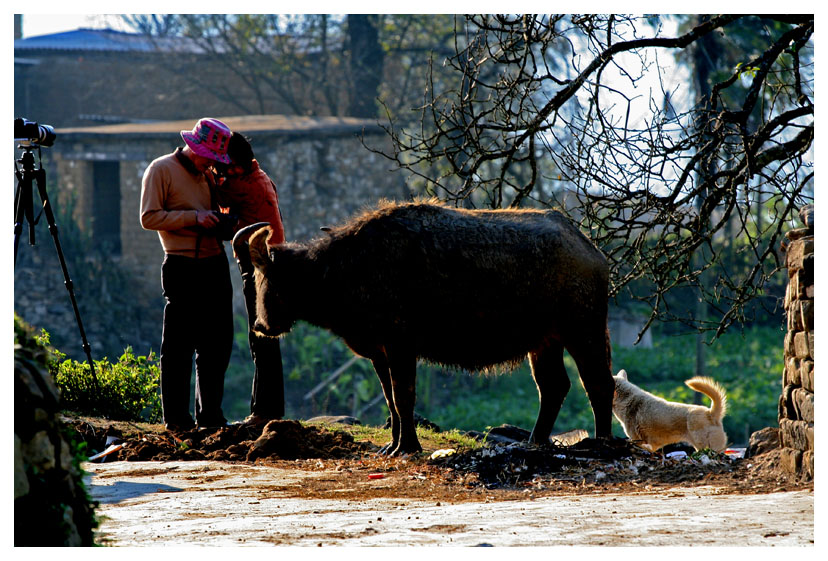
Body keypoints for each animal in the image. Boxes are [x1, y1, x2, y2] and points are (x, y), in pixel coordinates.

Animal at [233, 199, 616, 452]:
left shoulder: (401, 346)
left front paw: (408, 447)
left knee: (599, 384)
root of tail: (589, 248)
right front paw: (393, 445)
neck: (346, 268)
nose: (261, 325)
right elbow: (391, 400)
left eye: (266, 278)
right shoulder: (380, 353)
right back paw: (535, 442)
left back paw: (603, 442)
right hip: (545, 343)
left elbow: (404, 397)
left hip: (585, 331)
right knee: (554, 387)